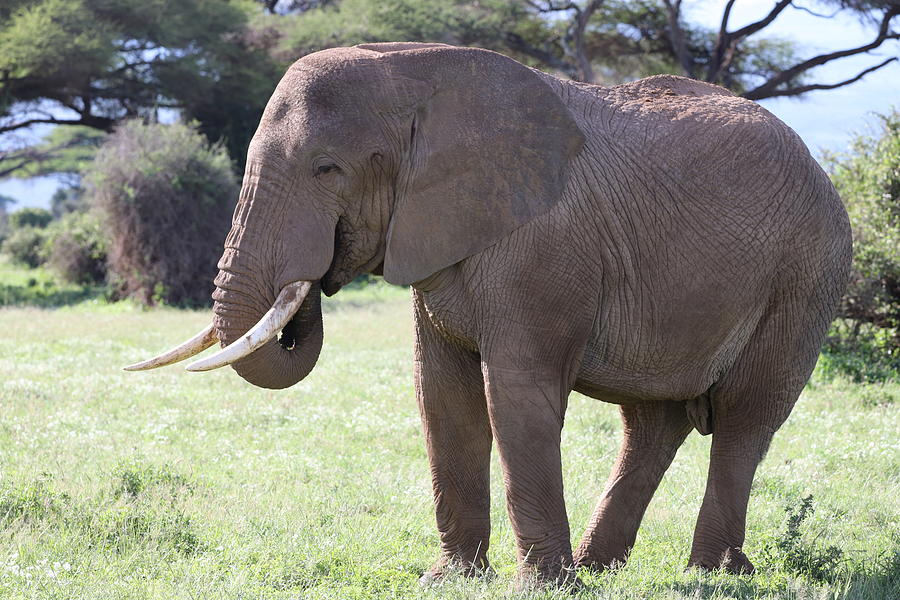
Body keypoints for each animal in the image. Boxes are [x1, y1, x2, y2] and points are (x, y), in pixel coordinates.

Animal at [128, 44, 852, 588]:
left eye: (327, 168)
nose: (312, 285)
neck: (416, 78)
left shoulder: (542, 248)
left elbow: (517, 395)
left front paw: (543, 587)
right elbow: (442, 395)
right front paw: (448, 580)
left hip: (804, 278)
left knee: (744, 419)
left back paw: (710, 576)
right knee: (652, 423)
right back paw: (604, 568)